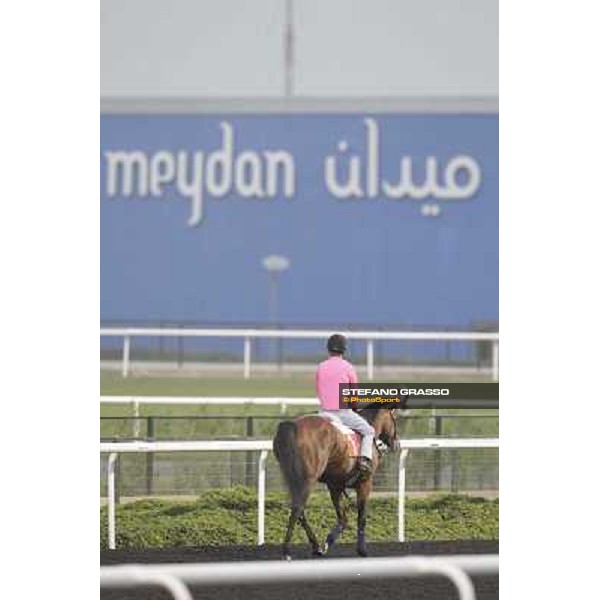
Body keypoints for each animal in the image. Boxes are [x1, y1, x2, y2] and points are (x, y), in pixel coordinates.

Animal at [274, 406, 398, 560]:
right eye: (394, 418)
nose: (396, 443)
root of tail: (290, 426)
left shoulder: (335, 485)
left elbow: (342, 518)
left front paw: (327, 542)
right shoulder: (365, 482)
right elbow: (361, 516)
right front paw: (362, 549)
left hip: (292, 478)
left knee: (300, 511)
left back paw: (316, 546)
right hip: (307, 480)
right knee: (297, 509)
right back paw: (286, 551)